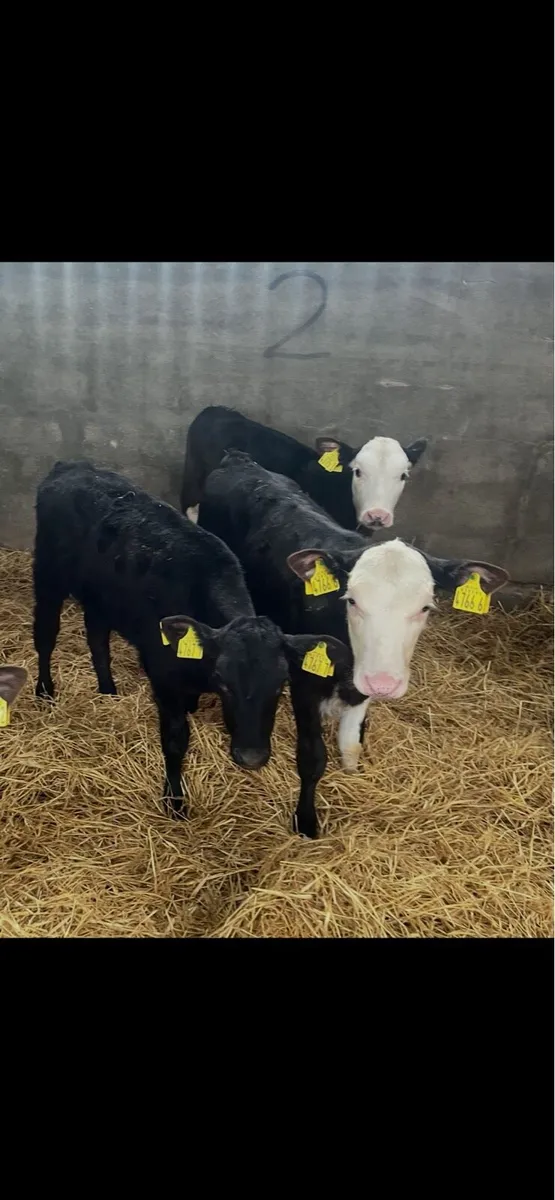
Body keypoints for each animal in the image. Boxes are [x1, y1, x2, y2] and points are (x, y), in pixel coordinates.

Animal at [33, 461, 348, 817]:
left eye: (281, 684)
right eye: (224, 682)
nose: (251, 758)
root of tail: (70, 466)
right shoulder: (163, 676)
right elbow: (175, 741)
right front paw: (174, 801)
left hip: (100, 597)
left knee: (97, 637)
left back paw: (108, 689)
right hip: (48, 574)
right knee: (45, 634)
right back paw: (45, 690)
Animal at [197, 451, 510, 838]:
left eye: (426, 607)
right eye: (352, 600)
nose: (383, 682)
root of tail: (239, 459)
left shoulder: (362, 687)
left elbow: (350, 745)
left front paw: (352, 774)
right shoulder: (303, 681)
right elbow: (311, 757)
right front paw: (306, 822)